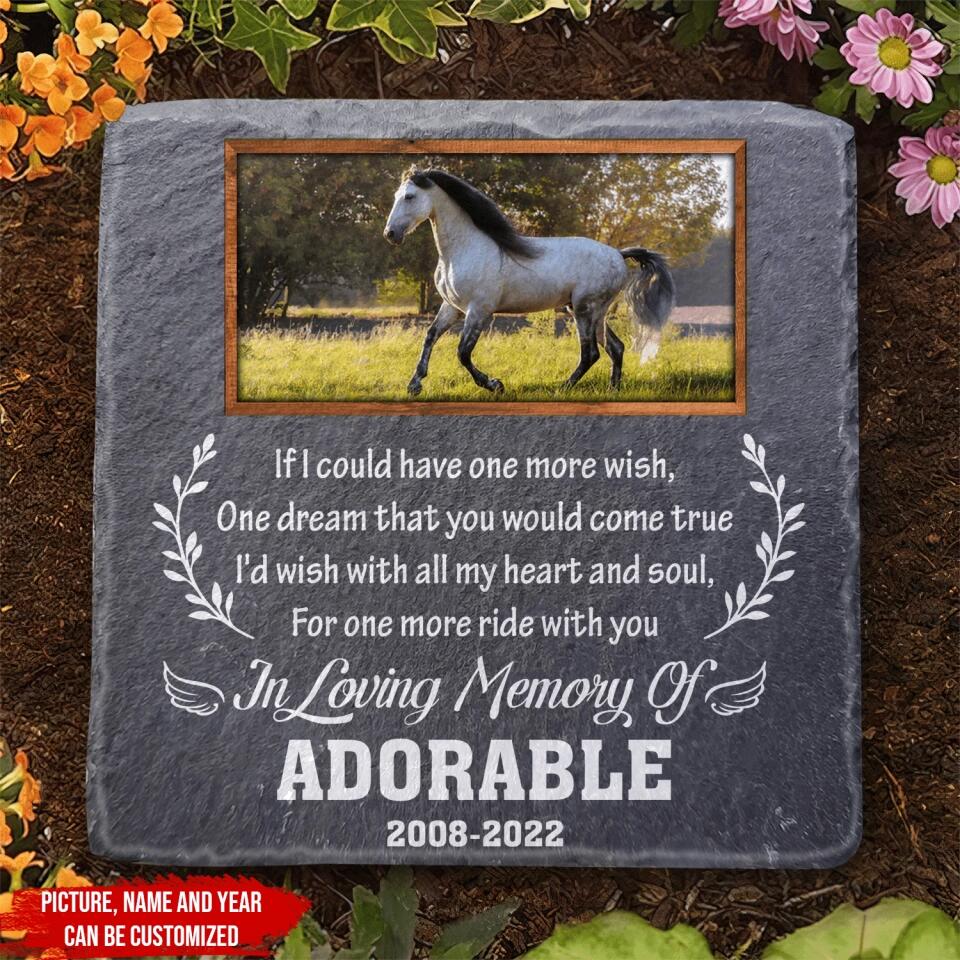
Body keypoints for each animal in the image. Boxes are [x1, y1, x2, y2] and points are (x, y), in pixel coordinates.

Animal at [383, 167, 675, 396]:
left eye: (409, 197)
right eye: (396, 196)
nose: (390, 234)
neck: (464, 250)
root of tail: (618, 253)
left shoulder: (479, 310)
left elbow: (463, 353)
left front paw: (496, 384)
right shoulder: (452, 307)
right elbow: (430, 336)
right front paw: (414, 384)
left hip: (585, 309)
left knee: (590, 353)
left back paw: (563, 388)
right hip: (594, 313)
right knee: (615, 347)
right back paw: (612, 390)